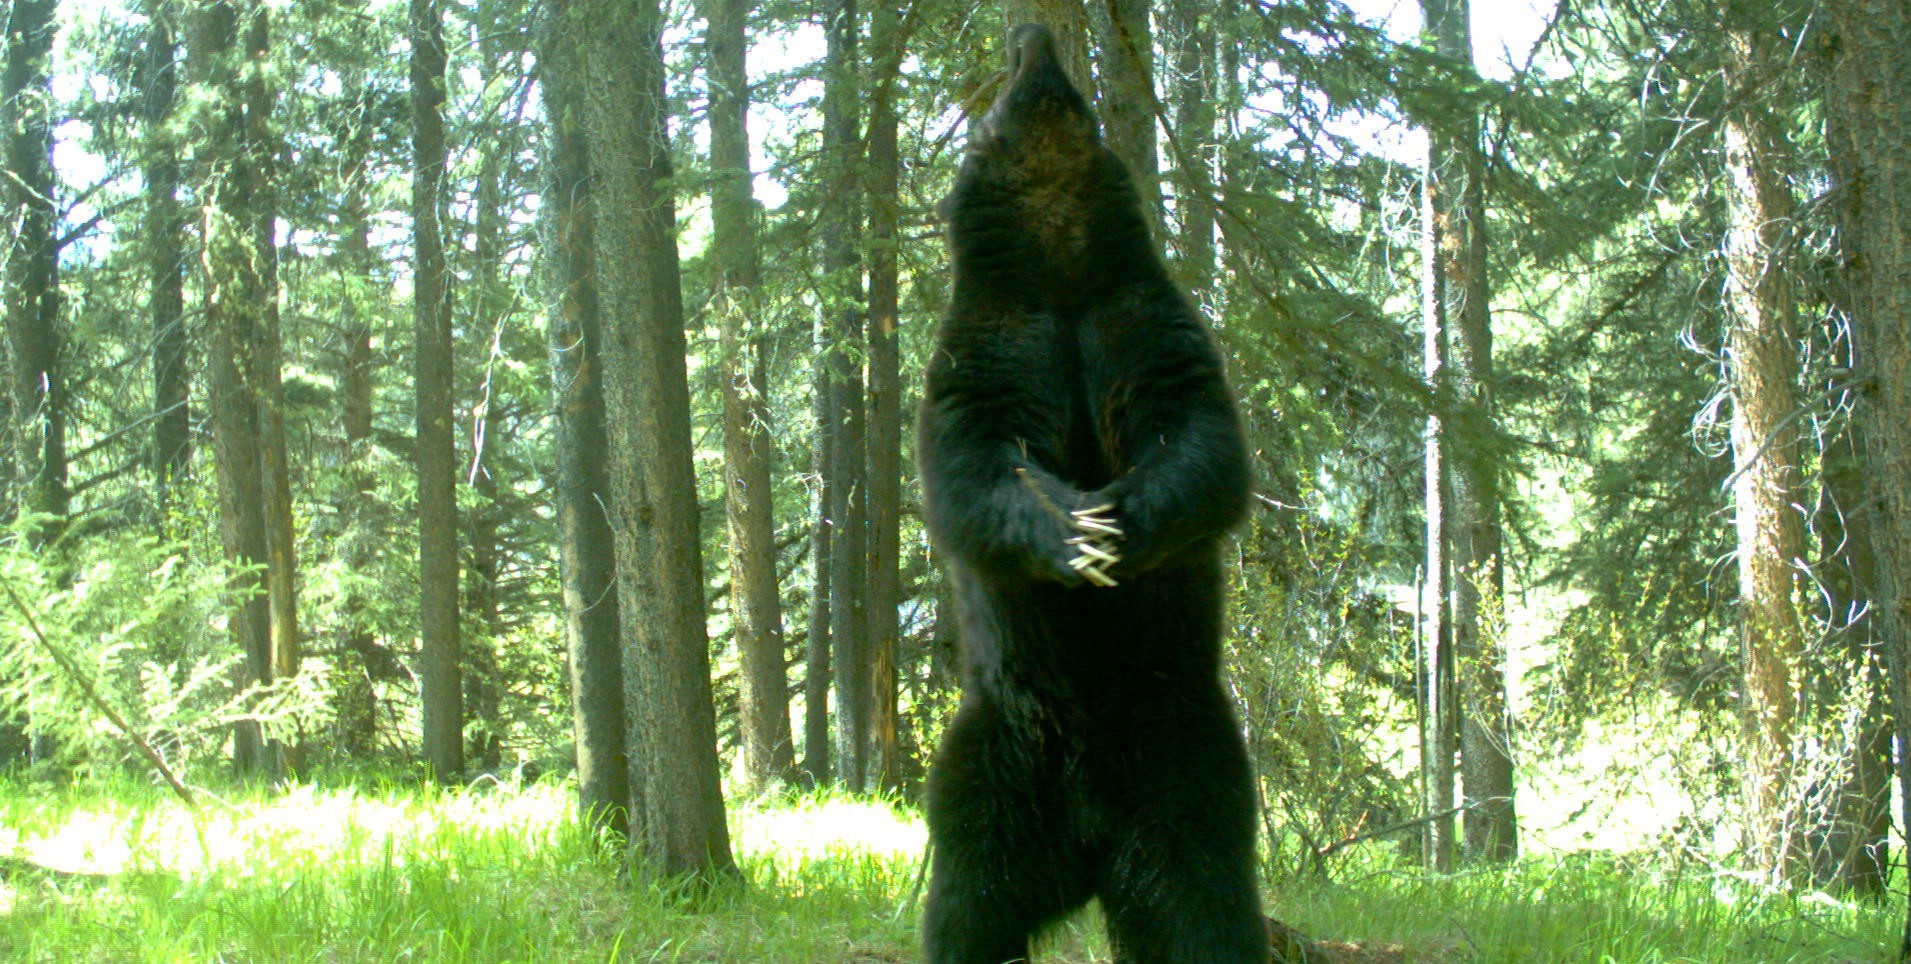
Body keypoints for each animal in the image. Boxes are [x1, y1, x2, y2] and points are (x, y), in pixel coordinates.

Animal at [921, 20, 1268, 964]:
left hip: (1186, 760)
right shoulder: (985, 345)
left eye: (1065, 78)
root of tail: (1084, 849)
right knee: (963, 897)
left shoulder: (1139, 320)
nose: (1033, 32)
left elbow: (1199, 441)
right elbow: (972, 469)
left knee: (1202, 900)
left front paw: (1119, 524)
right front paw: (1072, 531)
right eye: (1005, 76)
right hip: (993, 756)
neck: (1058, 264)